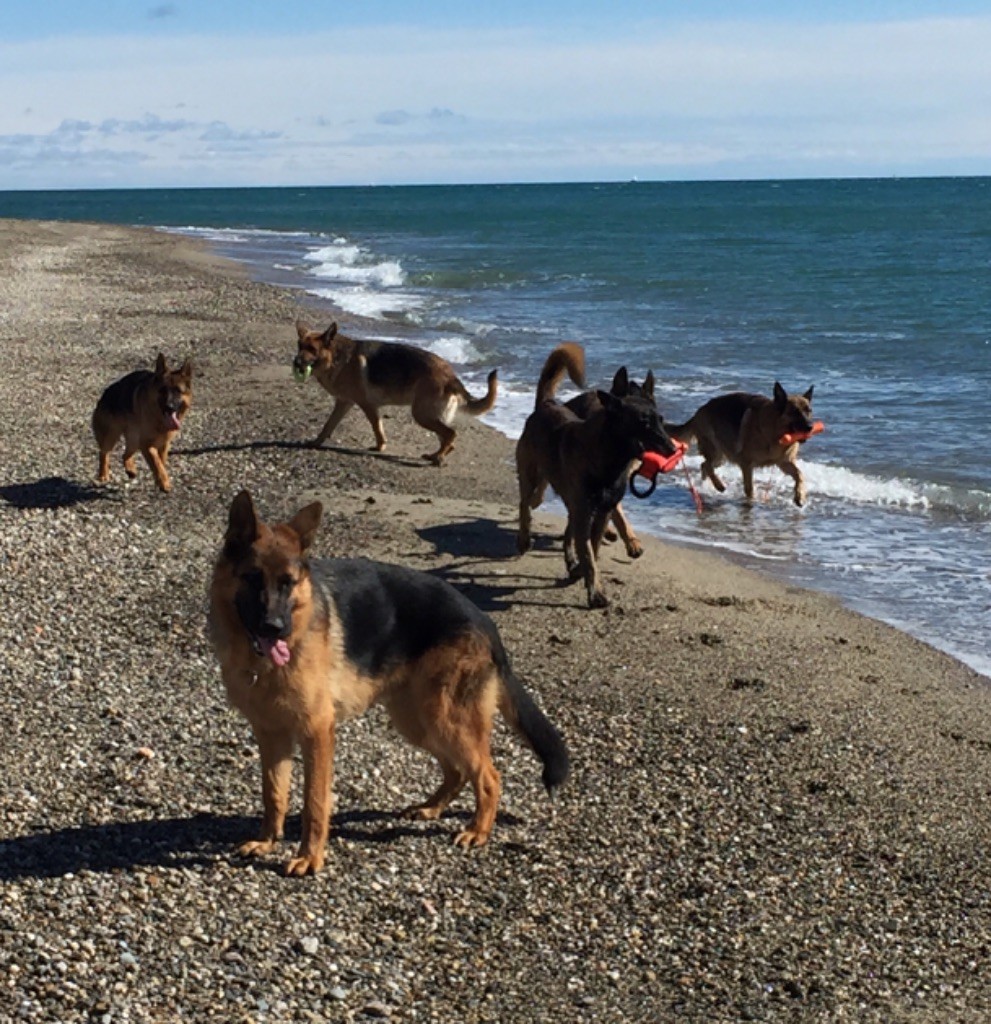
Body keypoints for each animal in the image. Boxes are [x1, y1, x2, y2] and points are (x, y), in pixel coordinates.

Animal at [93, 354, 193, 493]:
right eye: (162, 390)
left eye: (178, 391)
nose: (169, 407)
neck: (159, 419)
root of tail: (105, 394)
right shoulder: (147, 444)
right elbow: (157, 463)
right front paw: (164, 482)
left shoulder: (164, 444)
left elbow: (161, 462)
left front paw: (160, 481)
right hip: (111, 436)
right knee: (103, 452)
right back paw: (103, 474)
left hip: (134, 440)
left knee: (125, 454)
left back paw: (130, 469)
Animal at [206, 491, 573, 876]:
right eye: (252, 578)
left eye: (288, 583)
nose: (275, 628)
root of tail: (484, 620)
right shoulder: (271, 735)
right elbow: (273, 794)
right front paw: (266, 841)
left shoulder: (317, 732)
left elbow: (314, 802)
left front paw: (310, 857)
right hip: (420, 721)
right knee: (457, 771)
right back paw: (430, 808)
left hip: (446, 718)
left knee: (489, 777)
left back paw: (477, 831)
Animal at [292, 321, 495, 466]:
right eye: (299, 346)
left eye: (312, 349)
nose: (295, 362)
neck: (335, 357)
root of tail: (451, 375)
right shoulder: (343, 403)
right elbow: (328, 425)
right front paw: (316, 442)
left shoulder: (368, 405)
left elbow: (377, 427)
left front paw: (380, 446)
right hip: (432, 415)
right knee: (448, 439)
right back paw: (436, 456)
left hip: (422, 414)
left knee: (451, 434)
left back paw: (437, 458)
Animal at [513, 344, 675, 606]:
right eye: (644, 422)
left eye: (661, 420)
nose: (672, 449)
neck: (609, 458)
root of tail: (546, 404)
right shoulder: (584, 511)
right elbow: (589, 555)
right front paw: (596, 592)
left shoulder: (601, 512)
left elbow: (593, 548)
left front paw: (585, 573)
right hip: (531, 476)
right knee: (525, 504)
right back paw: (524, 539)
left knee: (567, 534)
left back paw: (571, 561)